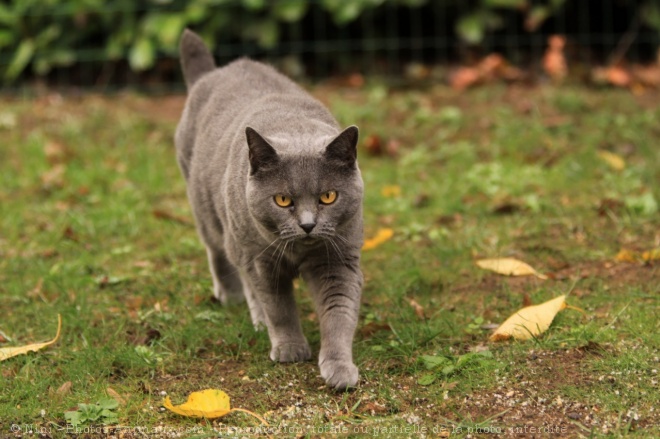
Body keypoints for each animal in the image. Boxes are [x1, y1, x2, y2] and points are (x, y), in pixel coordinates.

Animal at [173, 29, 364, 390]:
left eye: (328, 196)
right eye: (283, 200)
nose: (308, 224)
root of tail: (213, 73)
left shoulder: (339, 259)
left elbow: (339, 313)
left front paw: (339, 369)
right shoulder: (261, 261)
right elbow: (279, 308)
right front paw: (290, 349)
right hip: (213, 215)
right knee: (220, 254)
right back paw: (235, 299)